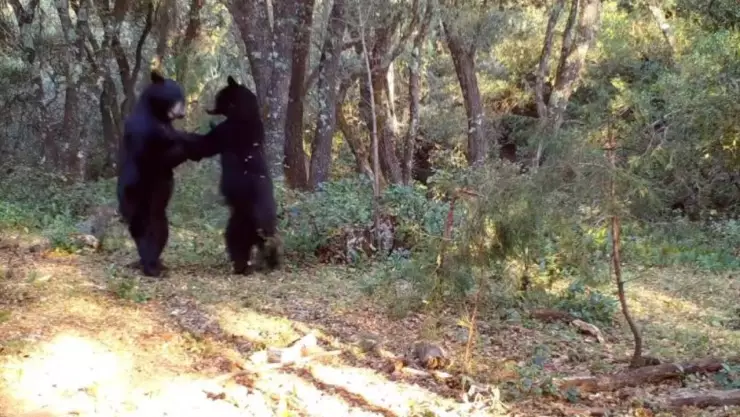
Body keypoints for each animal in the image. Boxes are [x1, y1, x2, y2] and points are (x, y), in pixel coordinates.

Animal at [116, 70, 196, 277]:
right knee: (142, 229)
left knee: (161, 229)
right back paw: (150, 266)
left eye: (183, 98)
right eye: (175, 98)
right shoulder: (146, 132)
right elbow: (165, 153)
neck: (157, 113)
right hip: (135, 197)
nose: (182, 113)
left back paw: (157, 263)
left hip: (157, 207)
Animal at [184, 76, 281, 275]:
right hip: (241, 222)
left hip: (249, 220)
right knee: (243, 244)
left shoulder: (230, 131)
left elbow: (205, 144)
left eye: (219, 96)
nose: (208, 108)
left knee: (244, 242)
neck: (244, 115)